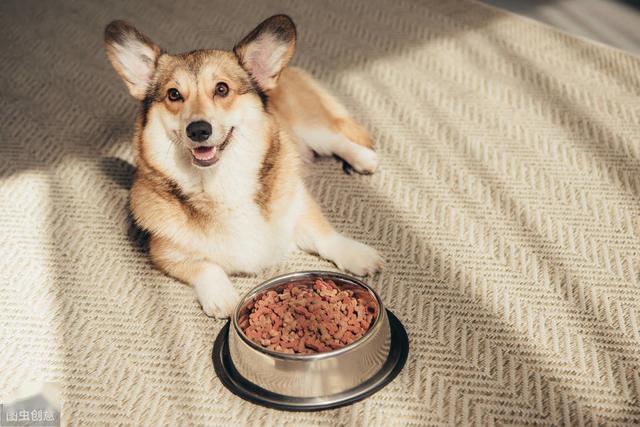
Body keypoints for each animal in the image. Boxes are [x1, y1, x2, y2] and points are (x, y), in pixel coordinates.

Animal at [105, 15, 382, 320]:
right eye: (174, 94)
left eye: (222, 89)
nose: (198, 130)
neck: (220, 180)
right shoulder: (165, 253)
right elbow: (206, 266)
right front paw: (222, 297)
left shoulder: (299, 206)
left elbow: (325, 235)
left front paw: (357, 254)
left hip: (311, 129)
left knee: (337, 139)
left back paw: (364, 159)